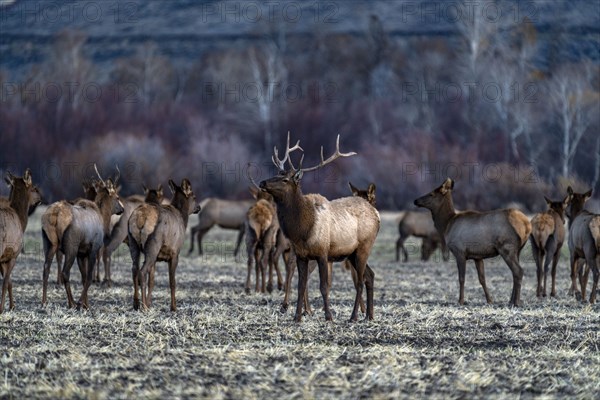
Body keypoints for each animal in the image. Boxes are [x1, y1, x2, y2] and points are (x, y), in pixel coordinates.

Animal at [0, 169, 41, 312]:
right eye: (34, 188)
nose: (41, 198)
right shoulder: (13, 254)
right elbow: (6, 282)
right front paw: (3, 308)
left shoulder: (3, 258)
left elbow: (10, 282)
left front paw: (12, 306)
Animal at [127, 178, 200, 312]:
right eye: (194, 197)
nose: (199, 207)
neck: (183, 218)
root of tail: (140, 217)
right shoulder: (175, 253)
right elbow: (172, 281)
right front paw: (173, 307)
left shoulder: (157, 258)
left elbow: (152, 281)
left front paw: (150, 302)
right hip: (153, 245)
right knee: (142, 272)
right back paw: (144, 307)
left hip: (133, 242)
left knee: (134, 269)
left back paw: (136, 304)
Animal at [258, 134, 380, 322]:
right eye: (277, 173)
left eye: (285, 180)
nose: (262, 182)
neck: (302, 230)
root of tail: (376, 214)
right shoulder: (301, 255)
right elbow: (301, 285)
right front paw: (297, 317)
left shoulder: (323, 252)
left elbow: (323, 286)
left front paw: (328, 316)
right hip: (352, 254)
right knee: (370, 275)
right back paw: (369, 316)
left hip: (364, 246)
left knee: (360, 281)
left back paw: (353, 317)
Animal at [414, 178, 532, 306]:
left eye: (431, 194)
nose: (416, 200)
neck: (446, 225)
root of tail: (527, 225)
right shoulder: (477, 256)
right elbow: (482, 279)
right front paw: (489, 300)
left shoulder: (459, 251)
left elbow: (461, 278)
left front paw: (460, 300)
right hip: (518, 250)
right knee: (515, 273)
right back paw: (510, 301)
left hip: (506, 247)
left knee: (518, 271)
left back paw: (516, 302)